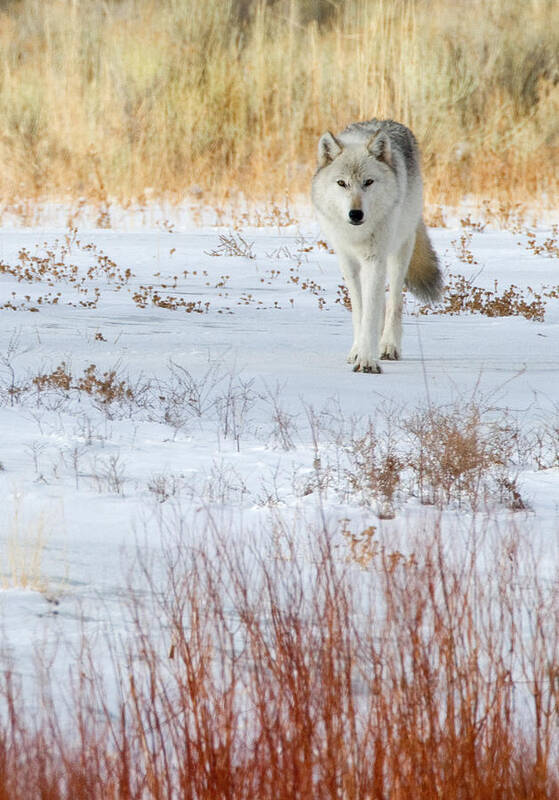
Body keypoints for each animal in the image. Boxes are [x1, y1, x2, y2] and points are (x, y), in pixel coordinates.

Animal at [310, 119, 442, 376]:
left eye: (368, 182)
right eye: (342, 183)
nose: (355, 214)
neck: (357, 234)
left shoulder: (375, 258)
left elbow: (371, 314)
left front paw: (367, 361)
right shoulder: (348, 262)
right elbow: (361, 312)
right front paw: (357, 351)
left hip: (399, 254)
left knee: (393, 304)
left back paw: (389, 346)